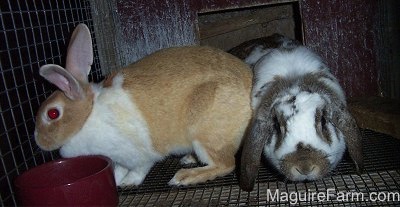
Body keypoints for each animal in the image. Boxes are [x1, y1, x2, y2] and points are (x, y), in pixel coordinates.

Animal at [35, 23, 253, 186]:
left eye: (52, 114)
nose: (39, 142)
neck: (88, 115)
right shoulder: (118, 159)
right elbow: (118, 170)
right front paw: (117, 181)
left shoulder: (138, 155)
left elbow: (139, 169)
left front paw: (127, 183)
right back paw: (189, 159)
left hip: (206, 134)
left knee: (226, 164)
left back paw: (184, 177)